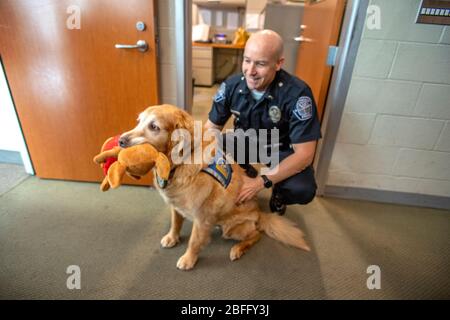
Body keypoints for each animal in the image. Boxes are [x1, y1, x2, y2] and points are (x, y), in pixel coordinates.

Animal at [119, 105, 310, 270]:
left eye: (154, 126)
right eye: (138, 121)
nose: (120, 140)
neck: (181, 163)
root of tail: (259, 213)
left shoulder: (202, 216)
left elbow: (194, 241)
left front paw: (188, 259)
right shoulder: (176, 205)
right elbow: (175, 223)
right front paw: (172, 237)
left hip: (233, 229)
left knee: (256, 234)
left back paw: (238, 249)